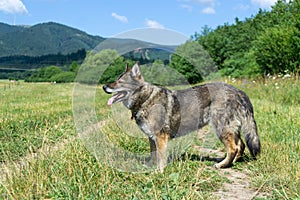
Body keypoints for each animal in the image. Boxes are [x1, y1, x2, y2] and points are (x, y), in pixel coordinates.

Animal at [103, 63, 260, 172]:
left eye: (120, 82)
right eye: (116, 80)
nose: (104, 87)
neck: (145, 99)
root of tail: (238, 91)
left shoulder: (161, 138)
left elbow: (161, 159)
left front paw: (159, 172)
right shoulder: (152, 138)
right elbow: (153, 155)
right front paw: (150, 166)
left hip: (222, 130)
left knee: (233, 148)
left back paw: (222, 165)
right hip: (232, 129)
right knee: (241, 145)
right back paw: (233, 163)